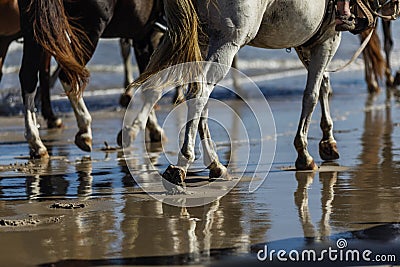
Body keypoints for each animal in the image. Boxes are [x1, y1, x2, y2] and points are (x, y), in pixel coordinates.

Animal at [18, 0, 166, 158]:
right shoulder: (152, 37)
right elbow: (153, 88)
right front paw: (136, 129)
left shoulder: (142, 37)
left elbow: (147, 84)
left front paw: (150, 126)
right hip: (89, 30)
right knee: (66, 75)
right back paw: (84, 128)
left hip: (34, 29)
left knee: (28, 77)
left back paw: (36, 141)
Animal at [119, 0, 400, 188]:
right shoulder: (328, 40)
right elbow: (311, 94)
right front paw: (305, 153)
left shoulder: (308, 43)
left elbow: (322, 87)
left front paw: (327, 141)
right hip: (226, 42)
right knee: (199, 92)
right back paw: (183, 163)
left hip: (199, 39)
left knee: (196, 96)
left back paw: (215, 165)